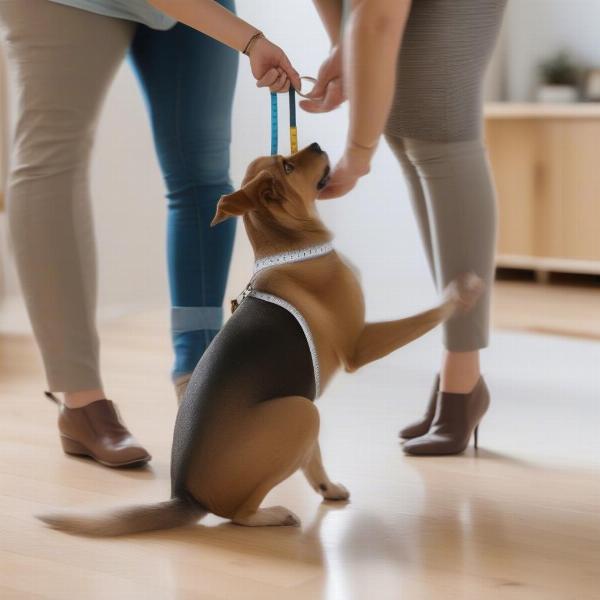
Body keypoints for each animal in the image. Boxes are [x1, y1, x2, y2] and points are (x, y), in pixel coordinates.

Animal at [37, 144, 480, 536]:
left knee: (303, 460)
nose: (315, 143)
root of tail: (186, 497)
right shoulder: (361, 343)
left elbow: (316, 460)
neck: (290, 247)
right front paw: (460, 293)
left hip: (302, 407)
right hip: (302, 412)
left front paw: (330, 489)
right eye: (288, 165)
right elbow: (425, 316)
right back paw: (272, 515)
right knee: (237, 514)